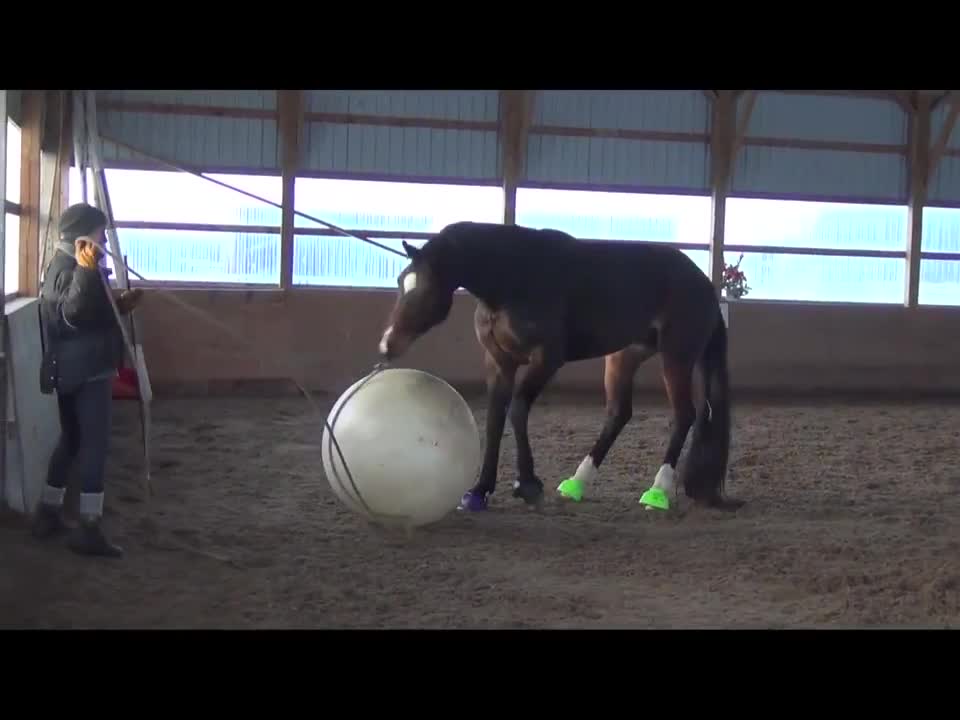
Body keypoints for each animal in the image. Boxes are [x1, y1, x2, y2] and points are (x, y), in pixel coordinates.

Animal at [376, 222, 744, 516]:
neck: (513, 276)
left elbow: (518, 410)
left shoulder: (546, 360)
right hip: (623, 357)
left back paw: (657, 491)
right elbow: (494, 420)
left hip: (676, 357)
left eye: (423, 289)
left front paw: (527, 485)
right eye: (400, 281)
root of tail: (704, 283)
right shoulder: (499, 363)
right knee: (619, 413)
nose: (386, 346)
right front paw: (479, 492)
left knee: (684, 414)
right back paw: (578, 483)